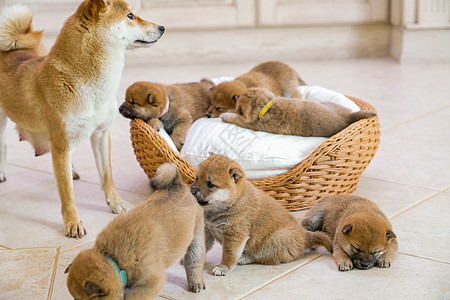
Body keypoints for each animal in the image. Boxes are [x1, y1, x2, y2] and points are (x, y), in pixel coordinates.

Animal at [0, 1, 165, 238]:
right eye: (130, 15)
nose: (162, 27)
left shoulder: (101, 134)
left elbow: (107, 177)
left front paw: (116, 204)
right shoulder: (61, 143)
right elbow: (67, 194)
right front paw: (73, 223)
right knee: (3, 144)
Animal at [66, 164, 207, 300]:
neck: (113, 259)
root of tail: (177, 184)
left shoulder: (150, 282)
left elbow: (132, 296)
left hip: (196, 240)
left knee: (194, 264)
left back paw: (196, 283)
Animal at [188, 155, 332, 276]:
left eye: (210, 184)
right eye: (197, 177)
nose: (191, 191)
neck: (233, 201)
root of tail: (305, 236)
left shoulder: (235, 234)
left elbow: (229, 254)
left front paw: (223, 267)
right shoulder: (208, 230)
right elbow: (202, 245)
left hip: (274, 240)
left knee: (261, 257)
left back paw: (243, 258)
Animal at [221, 87, 376, 138]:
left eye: (238, 106)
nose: (236, 97)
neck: (267, 106)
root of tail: (350, 116)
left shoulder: (251, 124)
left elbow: (236, 119)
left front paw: (226, 115)